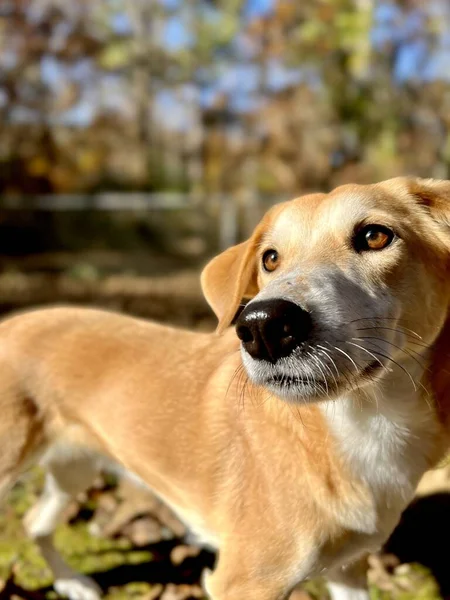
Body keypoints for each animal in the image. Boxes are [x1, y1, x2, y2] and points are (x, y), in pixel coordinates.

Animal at [0, 177, 450, 600]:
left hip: (75, 466)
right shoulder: (244, 584)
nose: (263, 327)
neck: (362, 422)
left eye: (375, 236)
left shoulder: (347, 567)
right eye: (270, 258)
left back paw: (70, 581)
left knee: (35, 523)